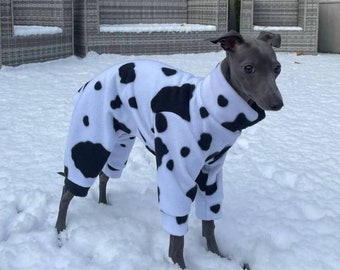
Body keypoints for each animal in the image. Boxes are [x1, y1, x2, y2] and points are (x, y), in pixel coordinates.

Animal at [55, 30, 282, 268]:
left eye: (277, 68)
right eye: (248, 68)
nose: (277, 103)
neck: (210, 109)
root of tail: (89, 82)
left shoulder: (211, 175)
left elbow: (209, 222)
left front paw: (216, 255)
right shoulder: (175, 173)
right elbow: (177, 236)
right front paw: (178, 264)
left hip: (120, 144)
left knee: (104, 175)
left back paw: (103, 205)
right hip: (90, 142)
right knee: (68, 189)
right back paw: (60, 230)